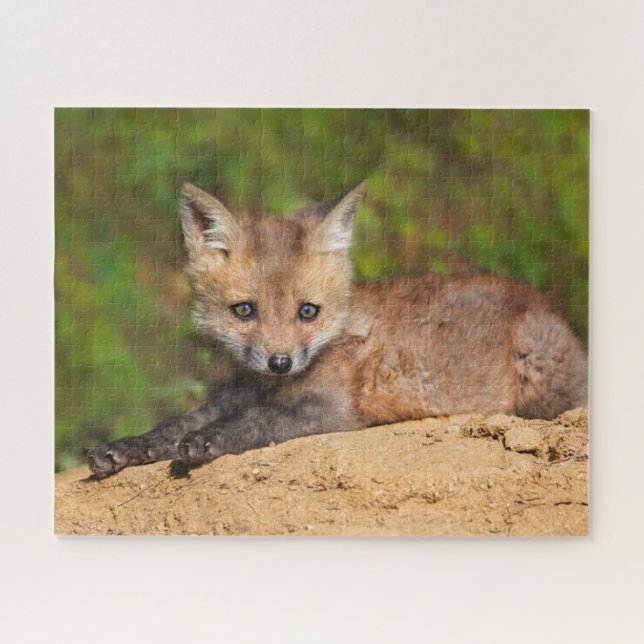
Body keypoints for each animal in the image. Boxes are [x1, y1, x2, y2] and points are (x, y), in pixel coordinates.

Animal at [88, 182, 588, 478]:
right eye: (244, 310)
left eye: (308, 311)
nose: (280, 362)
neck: (268, 386)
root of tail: (544, 305)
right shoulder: (230, 397)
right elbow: (173, 423)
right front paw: (125, 448)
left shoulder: (332, 411)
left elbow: (259, 422)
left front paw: (208, 442)